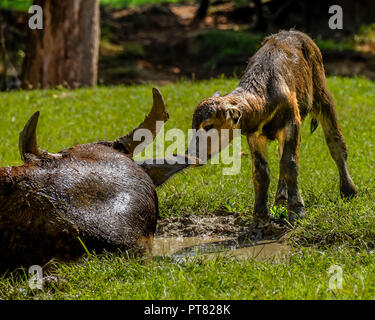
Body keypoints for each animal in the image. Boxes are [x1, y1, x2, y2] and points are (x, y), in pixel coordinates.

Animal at [191, 30, 358, 225]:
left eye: (208, 126)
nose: (193, 155)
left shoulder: (292, 123)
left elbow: (290, 164)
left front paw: (297, 211)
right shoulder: (255, 135)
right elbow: (261, 171)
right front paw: (260, 214)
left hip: (322, 95)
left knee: (336, 141)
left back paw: (348, 190)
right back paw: (280, 200)